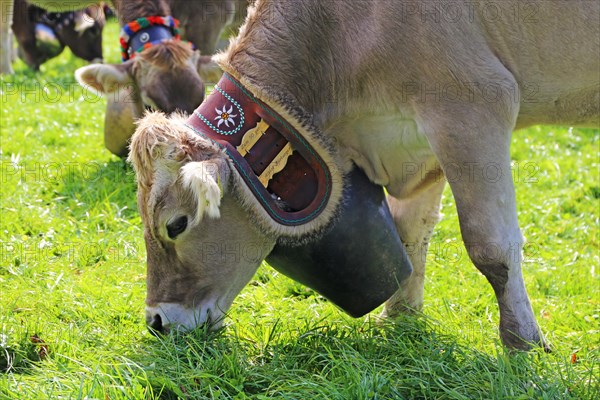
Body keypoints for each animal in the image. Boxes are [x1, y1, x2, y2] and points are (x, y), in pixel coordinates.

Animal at [129, 0, 596, 350]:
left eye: (176, 225)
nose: (156, 321)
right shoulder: (415, 141)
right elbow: (411, 235)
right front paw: (400, 321)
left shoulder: (472, 106)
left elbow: (491, 247)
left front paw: (523, 341)